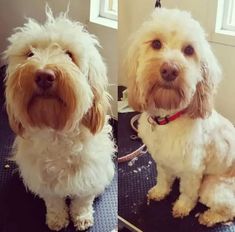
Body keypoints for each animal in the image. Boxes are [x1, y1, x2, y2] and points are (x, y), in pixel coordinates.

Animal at [2, 6, 114, 231]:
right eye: (30, 53)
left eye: (69, 55)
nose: (44, 75)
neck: (56, 132)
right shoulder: (44, 180)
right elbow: (53, 202)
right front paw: (56, 219)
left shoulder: (89, 174)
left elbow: (82, 201)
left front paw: (82, 218)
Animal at [127, 7, 235, 227]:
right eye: (156, 43)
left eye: (189, 50)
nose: (170, 69)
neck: (168, 119)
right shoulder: (162, 161)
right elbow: (163, 178)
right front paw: (160, 192)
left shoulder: (193, 171)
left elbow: (187, 193)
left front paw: (182, 208)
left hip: (212, 186)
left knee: (229, 210)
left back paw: (209, 217)